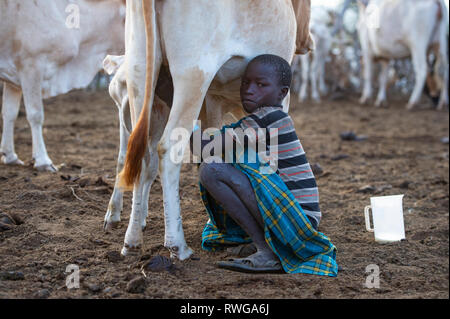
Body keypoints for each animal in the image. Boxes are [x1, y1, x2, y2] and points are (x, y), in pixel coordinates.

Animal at [0, 0, 125, 172]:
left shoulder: (14, 78)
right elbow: (35, 115)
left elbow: (9, 113)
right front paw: (43, 161)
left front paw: (10, 156)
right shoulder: (31, 65)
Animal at [110, 0, 312, 262]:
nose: (307, 43)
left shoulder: (213, 100)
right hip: (193, 76)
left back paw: (132, 240)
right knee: (168, 150)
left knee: (143, 155)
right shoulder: (279, 100)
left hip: (140, 73)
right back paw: (177, 245)